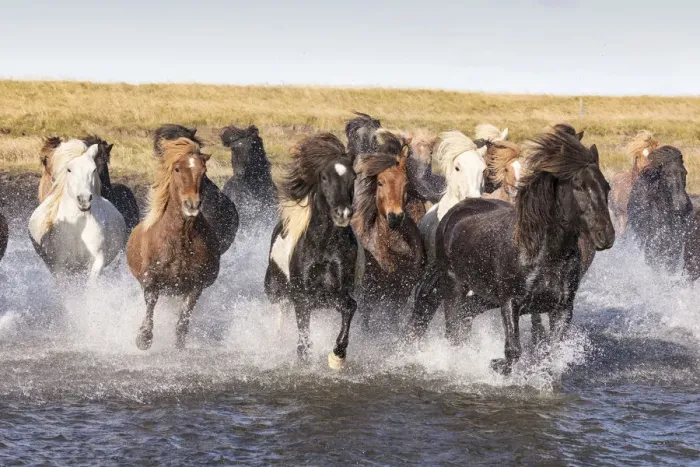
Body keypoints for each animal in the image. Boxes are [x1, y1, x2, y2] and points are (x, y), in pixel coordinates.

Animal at [29, 140, 127, 280]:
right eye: (69, 169)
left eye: (93, 169)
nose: (84, 199)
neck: (78, 226)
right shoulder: (60, 267)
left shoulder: (97, 262)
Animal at [127, 137, 220, 350]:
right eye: (177, 169)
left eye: (204, 171)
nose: (192, 205)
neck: (180, 240)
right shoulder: (151, 278)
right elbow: (151, 301)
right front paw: (143, 338)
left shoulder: (195, 285)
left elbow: (183, 320)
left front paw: (179, 344)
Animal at [264, 133, 357, 369]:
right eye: (324, 177)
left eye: (353, 177)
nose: (343, 214)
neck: (323, 245)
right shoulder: (302, 296)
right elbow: (303, 335)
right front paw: (305, 358)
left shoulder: (336, 293)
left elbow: (350, 307)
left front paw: (337, 355)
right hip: (276, 291)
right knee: (281, 316)